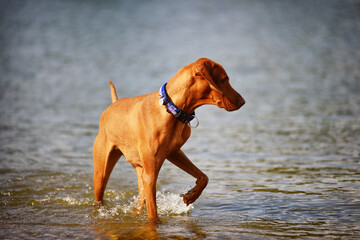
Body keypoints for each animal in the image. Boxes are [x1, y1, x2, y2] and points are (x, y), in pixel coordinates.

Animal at [93, 57, 245, 221]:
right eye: (224, 79)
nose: (243, 101)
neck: (171, 109)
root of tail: (113, 104)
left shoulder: (173, 152)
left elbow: (204, 177)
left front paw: (191, 195)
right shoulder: (151, 176)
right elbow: (153, 215)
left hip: (140, 173)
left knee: (140, 202)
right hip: (101, 174)